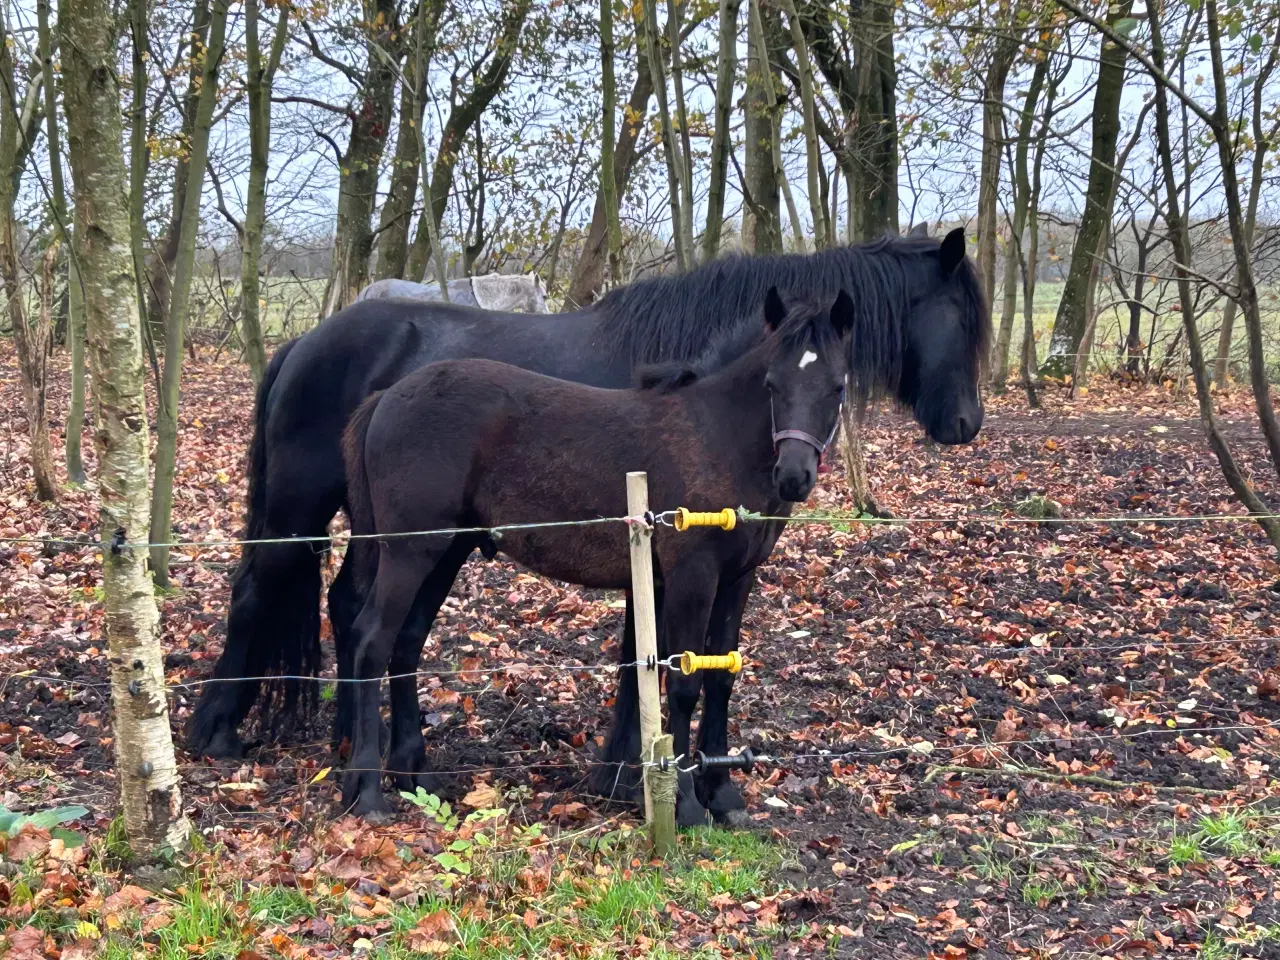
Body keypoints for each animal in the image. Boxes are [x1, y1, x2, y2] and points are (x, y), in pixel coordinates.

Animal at [186, 229, 988, 762]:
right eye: (960, 319)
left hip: (399, 533)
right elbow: (651, 655)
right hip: (300, 513)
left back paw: (366, 740)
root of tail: (306, 342)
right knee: (258, 593)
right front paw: (636, 768)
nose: (966, 424)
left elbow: (647, 654)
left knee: (353, 606)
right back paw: (215, 731)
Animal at [340, 289, 860, 824]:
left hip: (445, 552)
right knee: (372, 642)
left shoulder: (737, 579)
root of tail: (386, 398)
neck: (715, 437)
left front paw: (723, 794)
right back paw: (369, 792)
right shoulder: (691, 577)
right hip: (408, 553)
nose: (794, 477)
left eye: (837, 388)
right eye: (772, 384)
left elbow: (720, 678)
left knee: (406, 644)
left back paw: (415, 776)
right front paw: (688, 804)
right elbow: (683, 686)